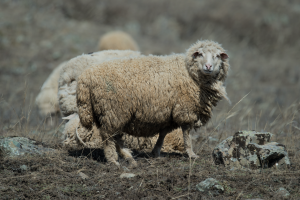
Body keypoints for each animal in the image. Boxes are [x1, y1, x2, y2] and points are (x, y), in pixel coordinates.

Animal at [77, 39, 230, 166]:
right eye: (201, 54)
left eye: (217, 56)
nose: (208, 66)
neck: (189, 72)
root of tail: (85, 78)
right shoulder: (185, 109)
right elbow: (186, 134)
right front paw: (191, 154)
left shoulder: (169, 113)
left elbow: (163, 133)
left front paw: (156, 152)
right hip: (113, 110)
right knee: (108, 136)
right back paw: (113, 160)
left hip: (107, 112)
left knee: (116, 136)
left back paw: (128, 156)